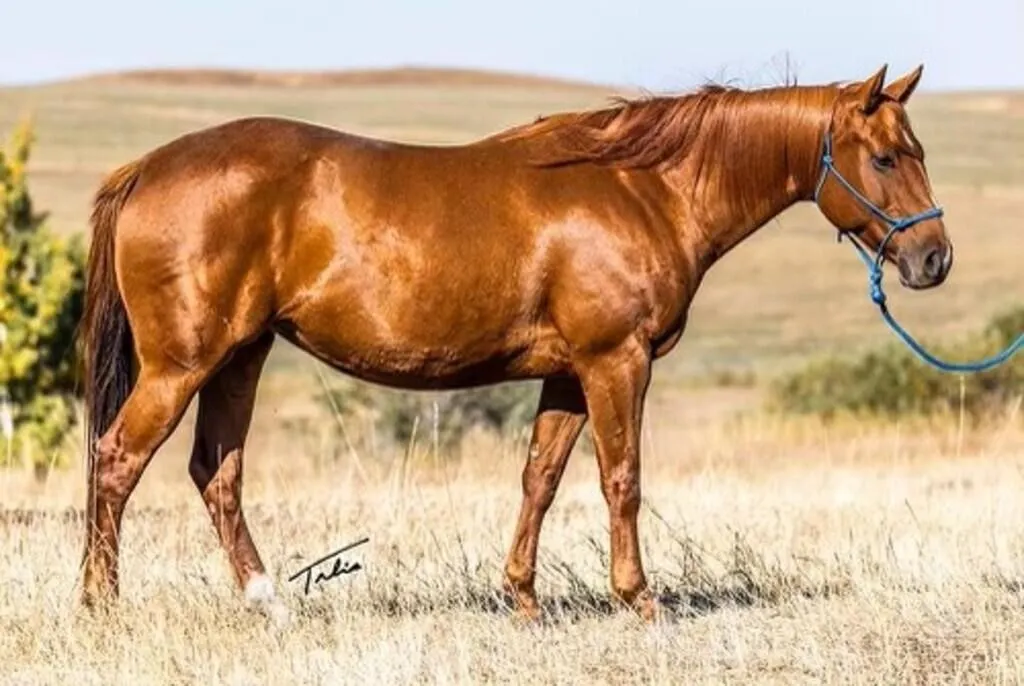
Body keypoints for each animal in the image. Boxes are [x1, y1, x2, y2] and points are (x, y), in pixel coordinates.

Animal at [78, 63, 951, 621]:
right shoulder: (615, 363)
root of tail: (146, 167)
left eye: (919, 150)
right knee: (118, 460)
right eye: (884, 156)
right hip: (183, 365)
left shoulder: (567, 376)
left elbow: (540, 479)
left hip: (239, 359)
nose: (933, 259)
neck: (643, 188)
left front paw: (523, 599)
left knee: (215, 474)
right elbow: (621, 480)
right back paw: (101, 604)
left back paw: (266, 602)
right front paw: (640, 600)